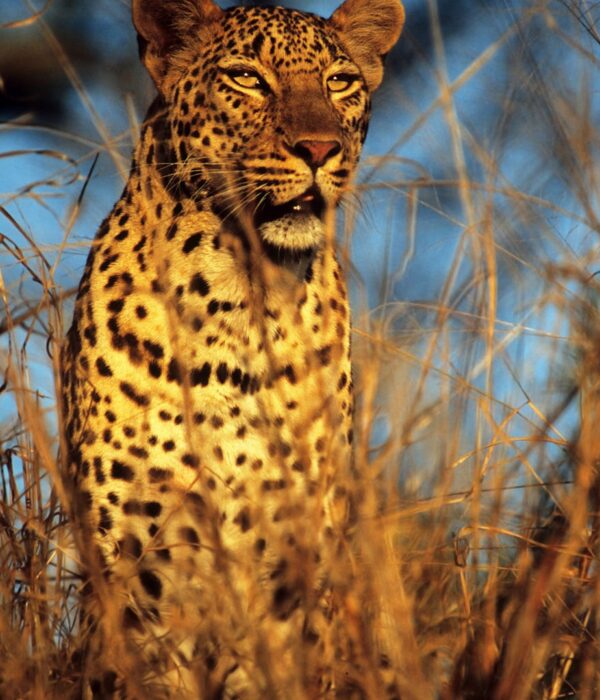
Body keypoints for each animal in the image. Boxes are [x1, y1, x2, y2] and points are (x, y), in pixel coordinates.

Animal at [61, 0, 404, 697]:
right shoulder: (135, 565)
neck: (238, 299)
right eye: (247, 78)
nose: (319, 149)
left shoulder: (298, 564)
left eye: (340, 83)